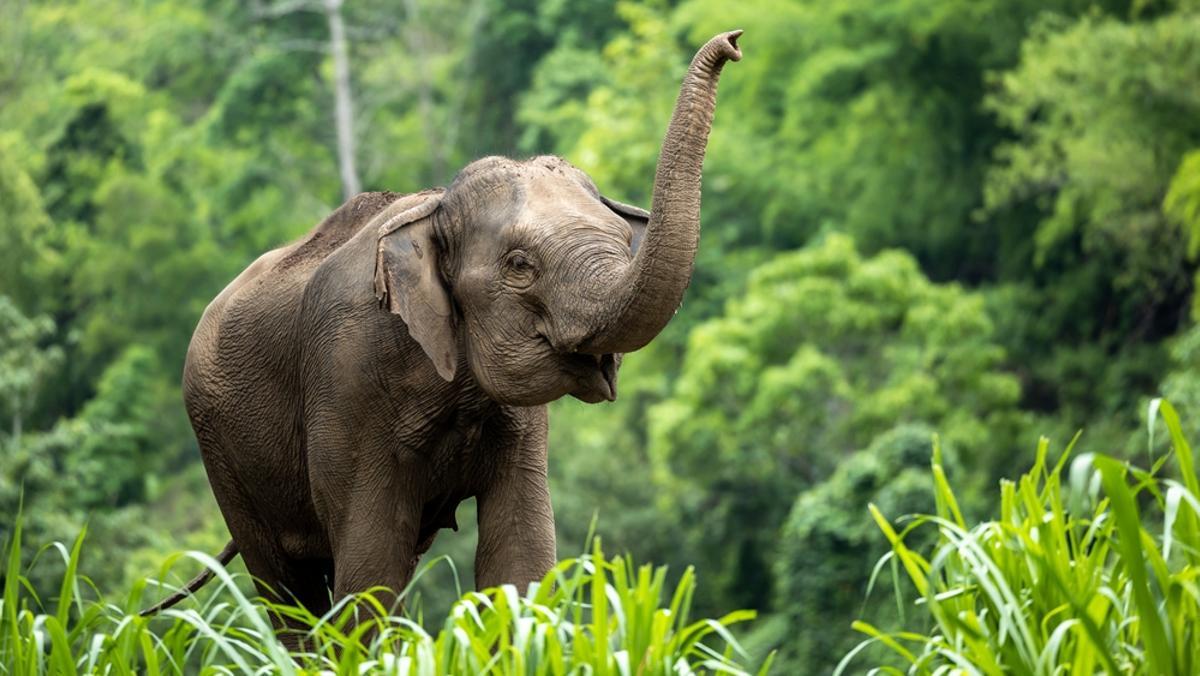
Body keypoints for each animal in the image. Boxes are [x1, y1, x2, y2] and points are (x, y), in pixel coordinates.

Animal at [140, 30, 742, 640]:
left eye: (623, 238)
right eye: (519, 265)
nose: (733, 43)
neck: (434, 205)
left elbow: (520, 553)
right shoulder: (347, 376)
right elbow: (371, 566)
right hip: (220, 448)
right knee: (287, 588)